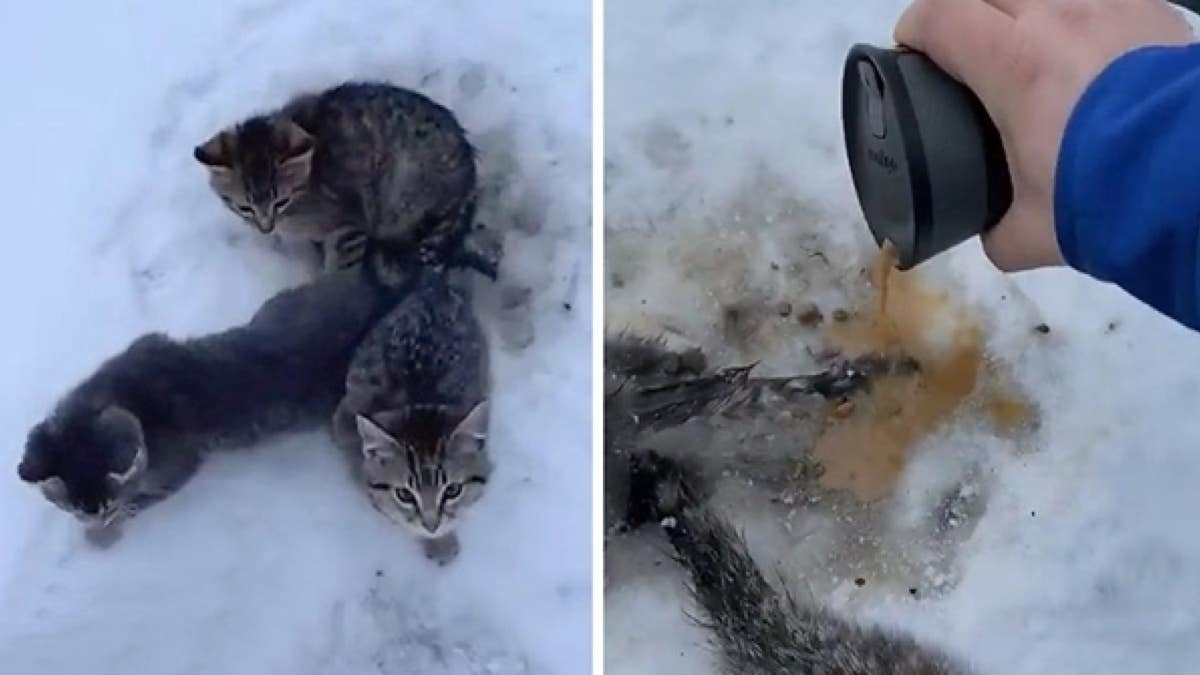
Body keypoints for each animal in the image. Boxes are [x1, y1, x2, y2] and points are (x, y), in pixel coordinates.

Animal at [17, 265, 408, 542]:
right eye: (75, 509)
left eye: (104, 508)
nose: (96, 520)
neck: (130, 395)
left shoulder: (179, 468)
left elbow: (148, 496)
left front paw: (122, 516)